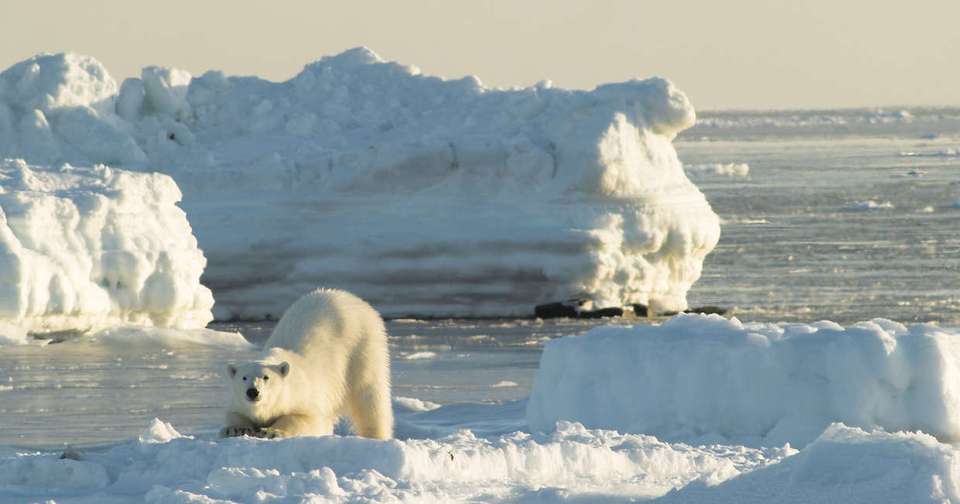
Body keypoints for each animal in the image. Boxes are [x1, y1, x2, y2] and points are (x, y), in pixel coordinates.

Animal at [221, 288, 393, 440]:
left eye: (266, 377)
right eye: (243, 378)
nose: (252, 392)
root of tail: (353, 298)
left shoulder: (304, 393)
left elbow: (306, 418)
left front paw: (272, 431)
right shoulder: (238, 401)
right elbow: (234, 413)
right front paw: (235, 429)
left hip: (362, 344)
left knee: (368, 393)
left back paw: (375, 435)